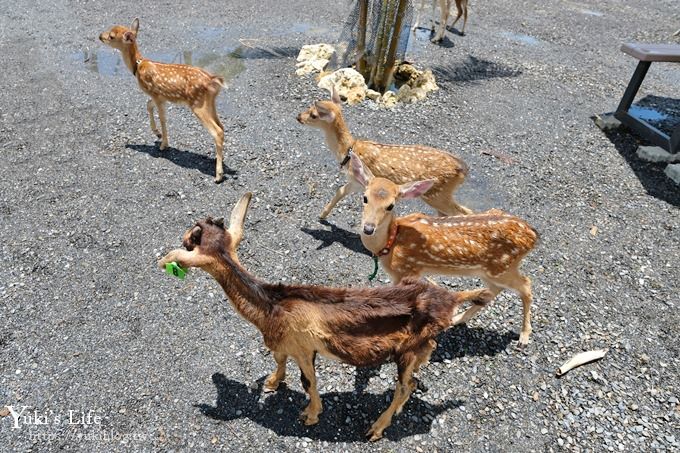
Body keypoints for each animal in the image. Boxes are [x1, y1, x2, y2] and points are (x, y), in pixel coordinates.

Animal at [100, 18, 228, 182]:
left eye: (111, 36)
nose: (100, 36)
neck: (138, 66)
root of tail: (213, 80)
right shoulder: (159, 96)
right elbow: (148, 106)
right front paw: (157, 134)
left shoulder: (156, 94)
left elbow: (162, 118)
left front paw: (163, 144)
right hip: (210, 103)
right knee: (222, 126)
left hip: (198, 104)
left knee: (217, 131)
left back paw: (218, 175)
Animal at [158, 192, 488, 440]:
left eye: (190, 241)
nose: (183, 240)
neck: (271, 306)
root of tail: (451, 299)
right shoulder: (285, 344)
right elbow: (279, 360)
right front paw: (272, 383)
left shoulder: (305, 348)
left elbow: (308, 382)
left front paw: (310, 415)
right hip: (420, 344)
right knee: (417, 374)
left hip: (406, 351)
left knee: (406, 385)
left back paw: (376, 428)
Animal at [298, 88, 472, 219]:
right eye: (308, 108)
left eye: (313, 114)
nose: (298, 116)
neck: (348, 150)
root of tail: (463, 169)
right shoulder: (356, 181)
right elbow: (340, 191)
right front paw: (322, 214)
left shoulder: (359, 180)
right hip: (441, 195)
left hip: (436, 194)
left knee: (462, 213)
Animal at [348, 152, 540, 346]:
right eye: (365, 198)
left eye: (390, 205)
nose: (368, 228)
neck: (391, 242)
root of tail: (533, 235)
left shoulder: (406, 270)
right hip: (491, 270)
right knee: (494, 290)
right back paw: (458, 318)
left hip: (502, 267)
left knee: (526, 285)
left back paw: (524, 336)